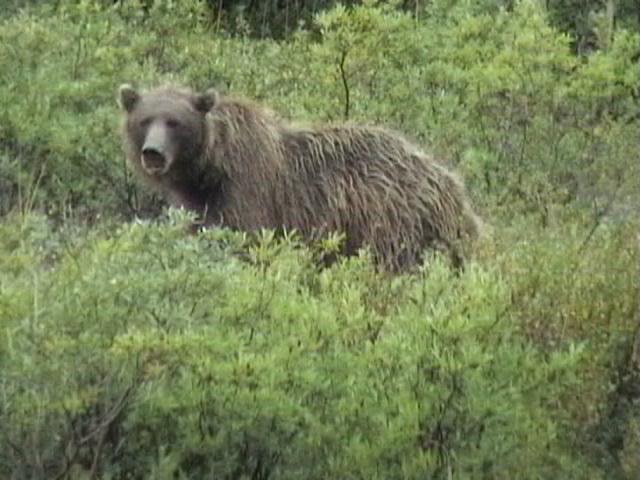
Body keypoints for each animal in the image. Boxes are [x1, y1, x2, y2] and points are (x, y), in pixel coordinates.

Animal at [117, 83, 481, 272]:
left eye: (174, 122)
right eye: (145, 119)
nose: (153, 153)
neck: (209, 171)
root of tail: (455, 190)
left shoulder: (249, 191)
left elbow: (249, 243)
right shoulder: (199, 205)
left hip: (392, 221)